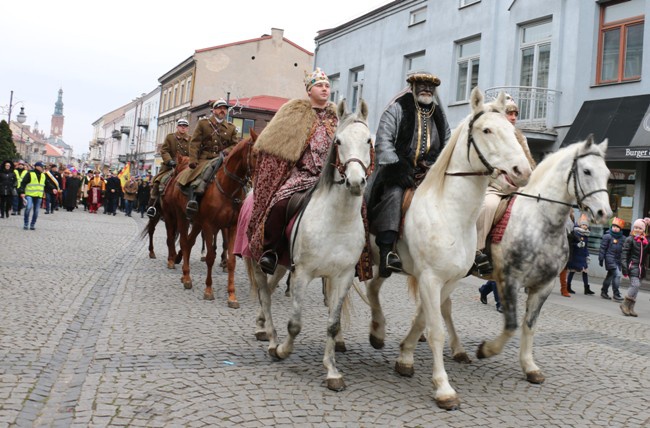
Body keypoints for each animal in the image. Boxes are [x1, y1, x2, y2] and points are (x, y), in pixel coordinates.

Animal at [161, 132, 256, 306]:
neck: (228, 187)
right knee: (183, 241)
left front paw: (232, 295)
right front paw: (208, 290)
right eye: (255, 154)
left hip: (197, 223)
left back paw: (183, 272)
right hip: (182, 218)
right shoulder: (209, 226)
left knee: (189, 243)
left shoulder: (232, 227)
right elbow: (211, 257)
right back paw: (186, 277)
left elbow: (232, 260)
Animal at [247, 99, 372, 392]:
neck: (336, 221)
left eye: (369, 140)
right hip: (259, 260)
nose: (355, 182)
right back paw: (271, 339)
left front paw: (332, 371)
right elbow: (295, 323)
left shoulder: (341, 276)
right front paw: (283, 350)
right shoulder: (302, 274)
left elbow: (332, 324)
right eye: (338, 141)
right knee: (265, 295)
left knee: (270, 290)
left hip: (282, 265)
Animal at [364, 88, 532, 412]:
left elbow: (423, 320)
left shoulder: (448, 280)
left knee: (373, 289)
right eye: (487, 130)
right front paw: (443, 388)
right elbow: (436, 331)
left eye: (511, 131)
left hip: (382, 263)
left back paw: (377, 332)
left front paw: (405, 357)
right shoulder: (430, 279)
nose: (523, 171)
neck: (450, 211)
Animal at [474, 135, 612, 380]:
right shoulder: (510, 280)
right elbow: (511, 325)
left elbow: (530, 325)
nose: (604, 213)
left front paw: (530, 367)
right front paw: (485, 350)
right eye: (587, 171)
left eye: (607, 174)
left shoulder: (543, 286)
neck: (540, 222)